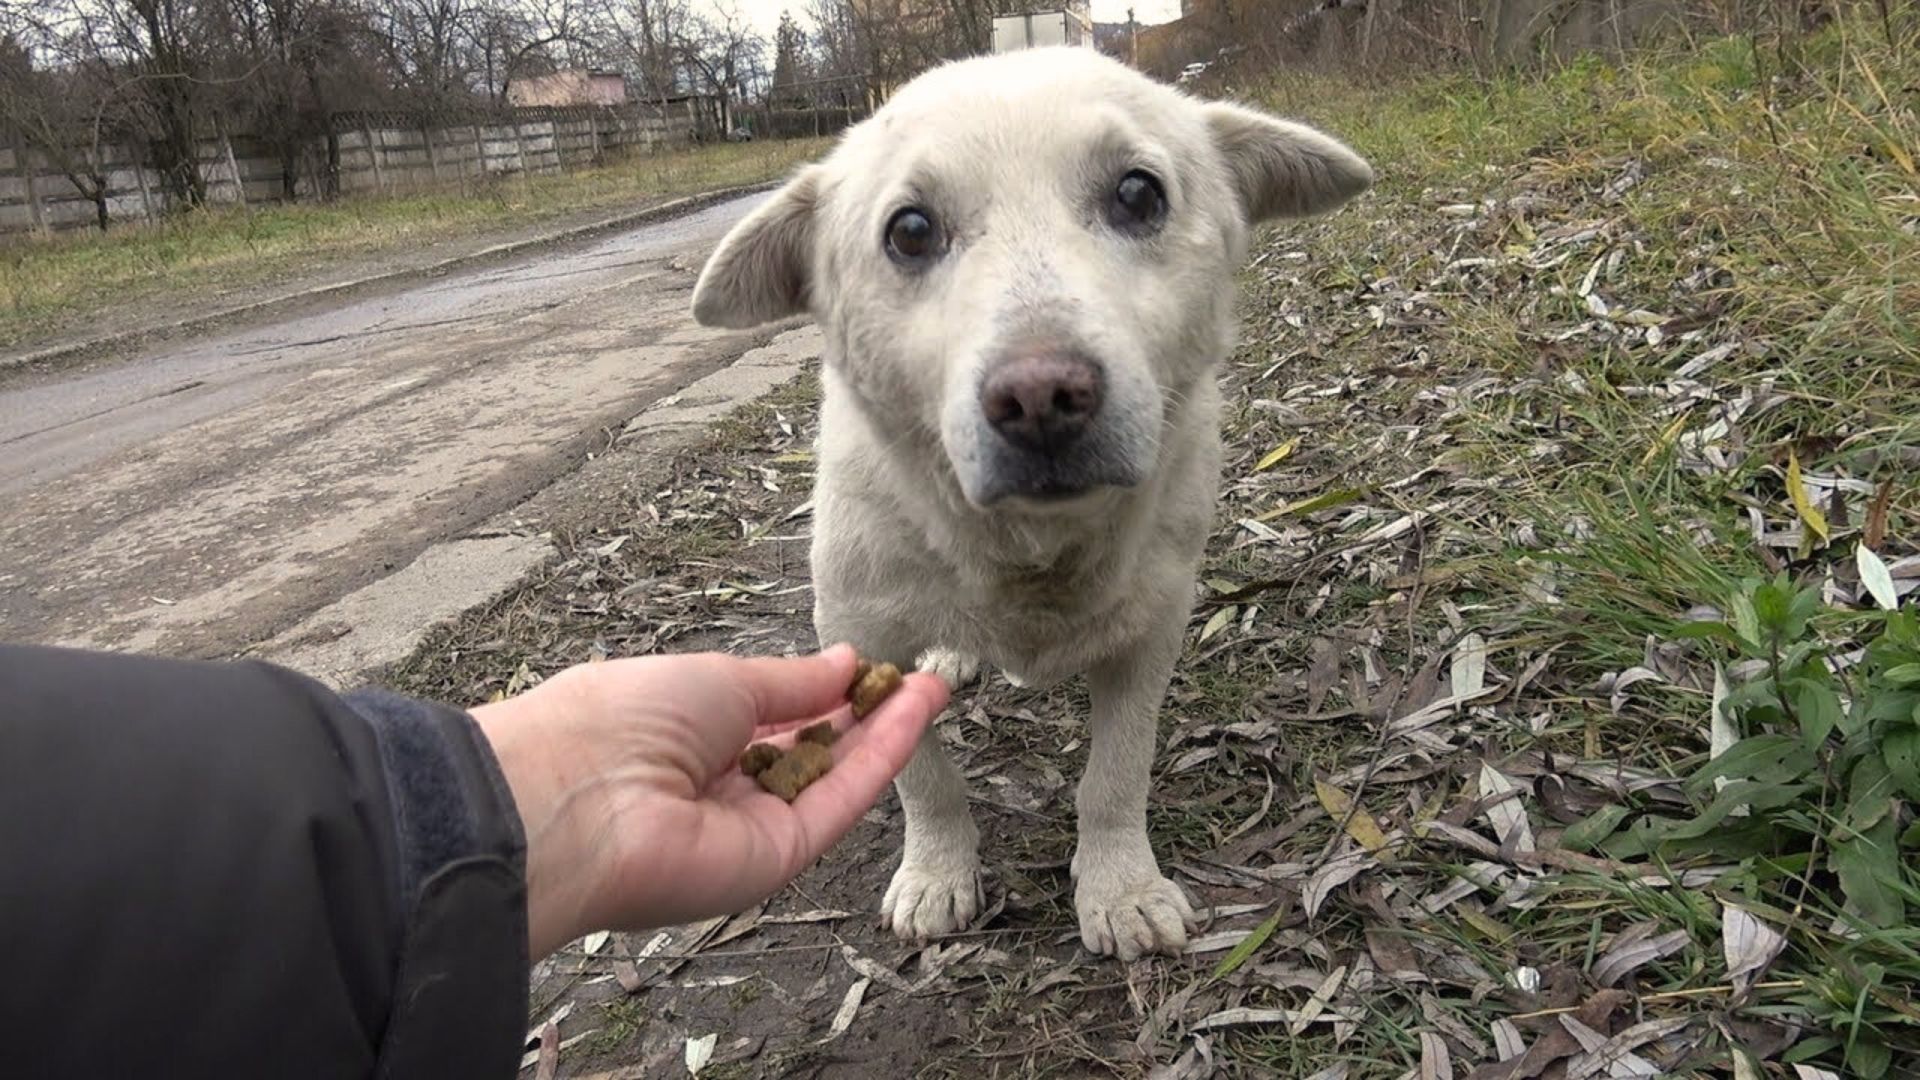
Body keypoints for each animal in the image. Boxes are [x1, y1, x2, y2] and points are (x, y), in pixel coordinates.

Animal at [691, 48, 1367, 957]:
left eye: (1138, 194)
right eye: (910, 230)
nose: (1042, 396)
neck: (1028, 552)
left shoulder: (1151, 631)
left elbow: (1116, 773)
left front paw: (1119, 887)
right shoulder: (861, 634)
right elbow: (924, 778)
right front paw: (937, 873)